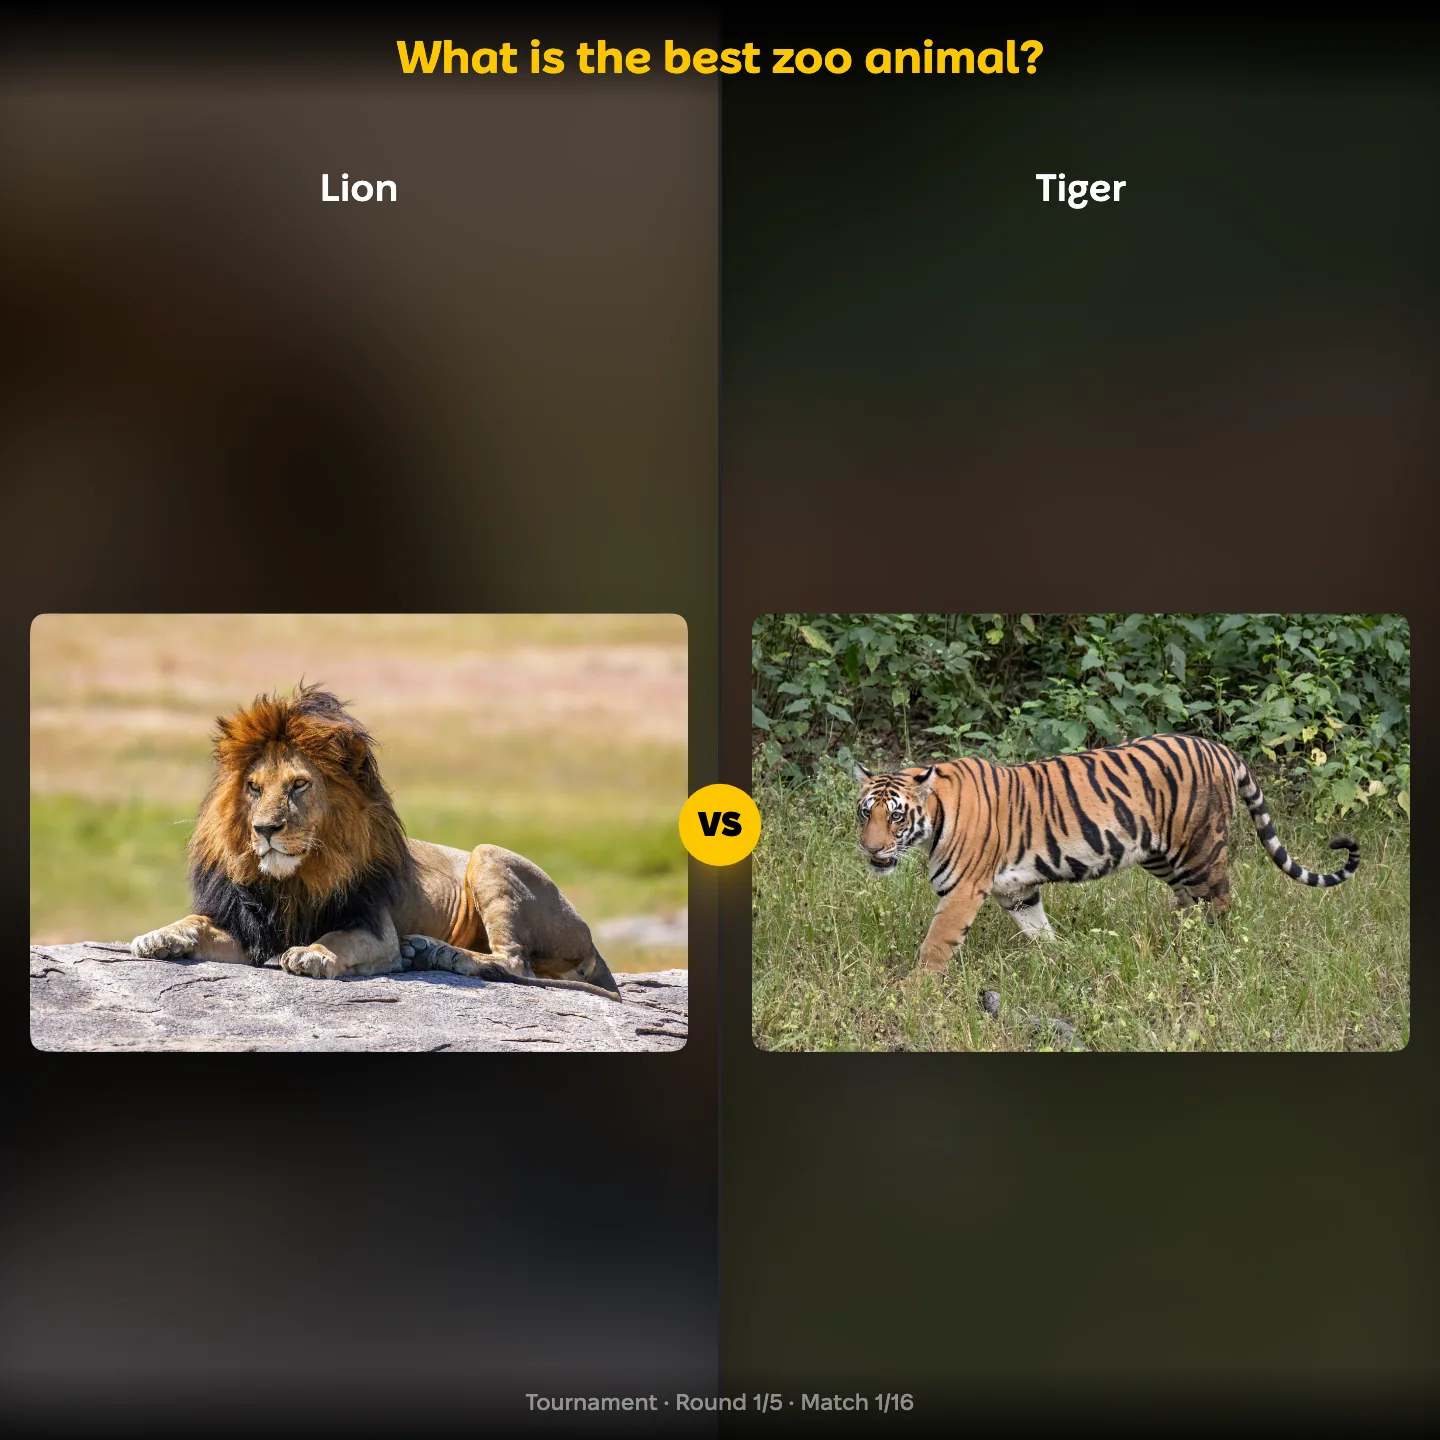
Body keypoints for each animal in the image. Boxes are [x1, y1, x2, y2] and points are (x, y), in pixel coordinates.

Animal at [130, 684, 622, 1000]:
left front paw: (312, 954)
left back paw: (433, 952)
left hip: (488, 857)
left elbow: (337, 938)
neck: (296, 880)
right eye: (253, 787)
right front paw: (159, 936)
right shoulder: (250, 930)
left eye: (299, 785)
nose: (264, 830)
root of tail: (589, 937)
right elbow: (196, 922)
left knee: (514, 962)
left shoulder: (375, 929)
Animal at [853, 734, 1360, 973]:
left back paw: (1212, 951)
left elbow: (935, 945)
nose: (870, 849)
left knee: (1220, 903)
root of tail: (1219, 748)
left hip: (1199, 851)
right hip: (1162, 856)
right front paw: (1060, 958)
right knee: (1189, 903)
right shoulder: (1016, 890)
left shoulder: (961, 893)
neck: (934, 817)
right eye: (864, 813)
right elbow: (1038, 929)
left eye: (896, 817)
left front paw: (916, 990)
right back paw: (1176, 940)